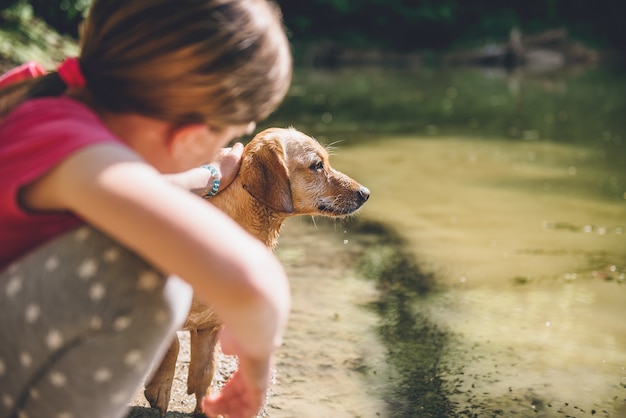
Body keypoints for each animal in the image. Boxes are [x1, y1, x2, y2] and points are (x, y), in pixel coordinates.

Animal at [144, 126, 368, 414]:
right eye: (317, 165)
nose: (366, 193)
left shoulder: (212, 325)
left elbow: (205, 371)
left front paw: (206, 408)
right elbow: (173, 343)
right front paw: (160, 389)